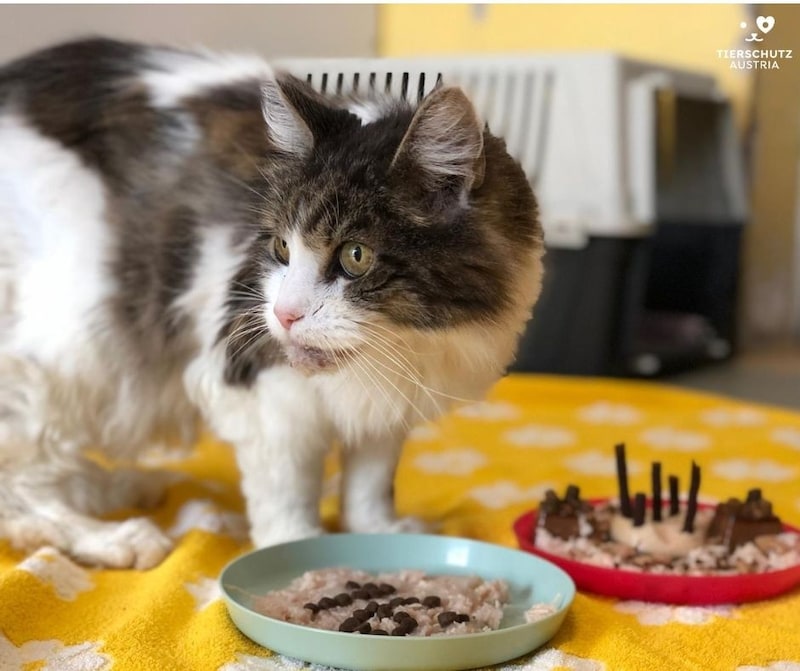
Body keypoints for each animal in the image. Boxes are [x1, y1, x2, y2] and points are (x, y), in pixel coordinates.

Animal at [0, 39, 544, 568]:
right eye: (282, 248)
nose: (284, 314)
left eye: (356, 256)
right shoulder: (258, 385)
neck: (402, 344)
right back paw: (111, 535)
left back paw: (118, 486)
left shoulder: (392, 400)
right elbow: (287, 492)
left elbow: (369, 481)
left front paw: (377, 531)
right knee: (20, 487)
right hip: (70, 350)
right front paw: (296, 554)